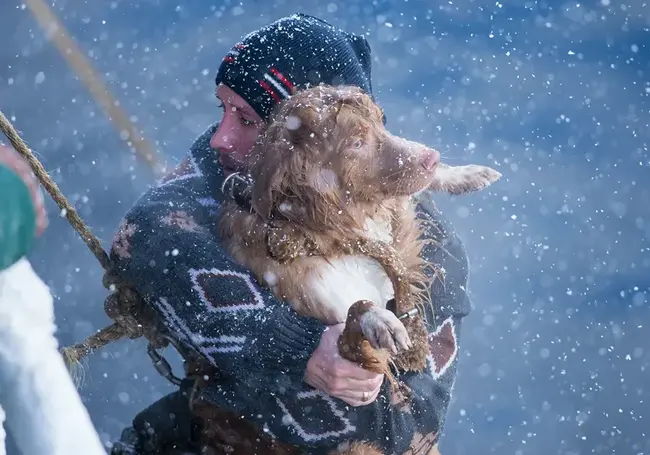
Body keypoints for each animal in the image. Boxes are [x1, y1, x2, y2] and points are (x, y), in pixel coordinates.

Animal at [210, 86, 498, 455]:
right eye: (357, 143)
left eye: (381, 124)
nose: (431, 157)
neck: (329, 233)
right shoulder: (350, 346)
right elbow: (356, 312)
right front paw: (378, 321)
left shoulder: (397, 242)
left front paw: (465, 173)